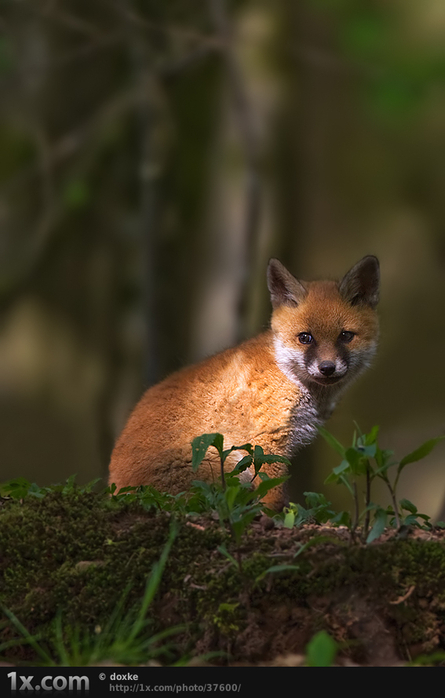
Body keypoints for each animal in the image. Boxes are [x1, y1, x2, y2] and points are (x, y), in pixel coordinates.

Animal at [109, 254, 380, 506]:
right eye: (305, 338)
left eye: (345, 336)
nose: (327, 368)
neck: (287, 375)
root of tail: (116, 488)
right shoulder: (266, 442)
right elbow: (273, 495)